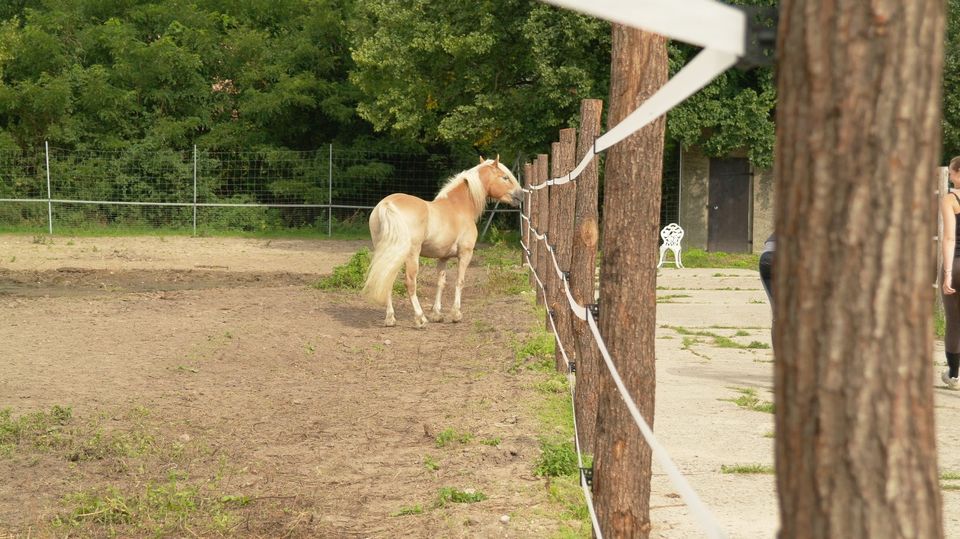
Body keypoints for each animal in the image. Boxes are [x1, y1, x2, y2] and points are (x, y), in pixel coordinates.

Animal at [362, 156, 524, 330]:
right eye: (505, 177)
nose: (521, 196)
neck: (459, 207)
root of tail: (387, 204)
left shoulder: (443, 257)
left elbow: (440, 283)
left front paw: (437, 314)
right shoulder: (465, 254)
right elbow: (460, 282)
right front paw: (456, 314)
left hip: (390, 253)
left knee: (387, 279)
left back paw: (390, 318)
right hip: (411, 255)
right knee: (410, 284)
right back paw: (420, 319)